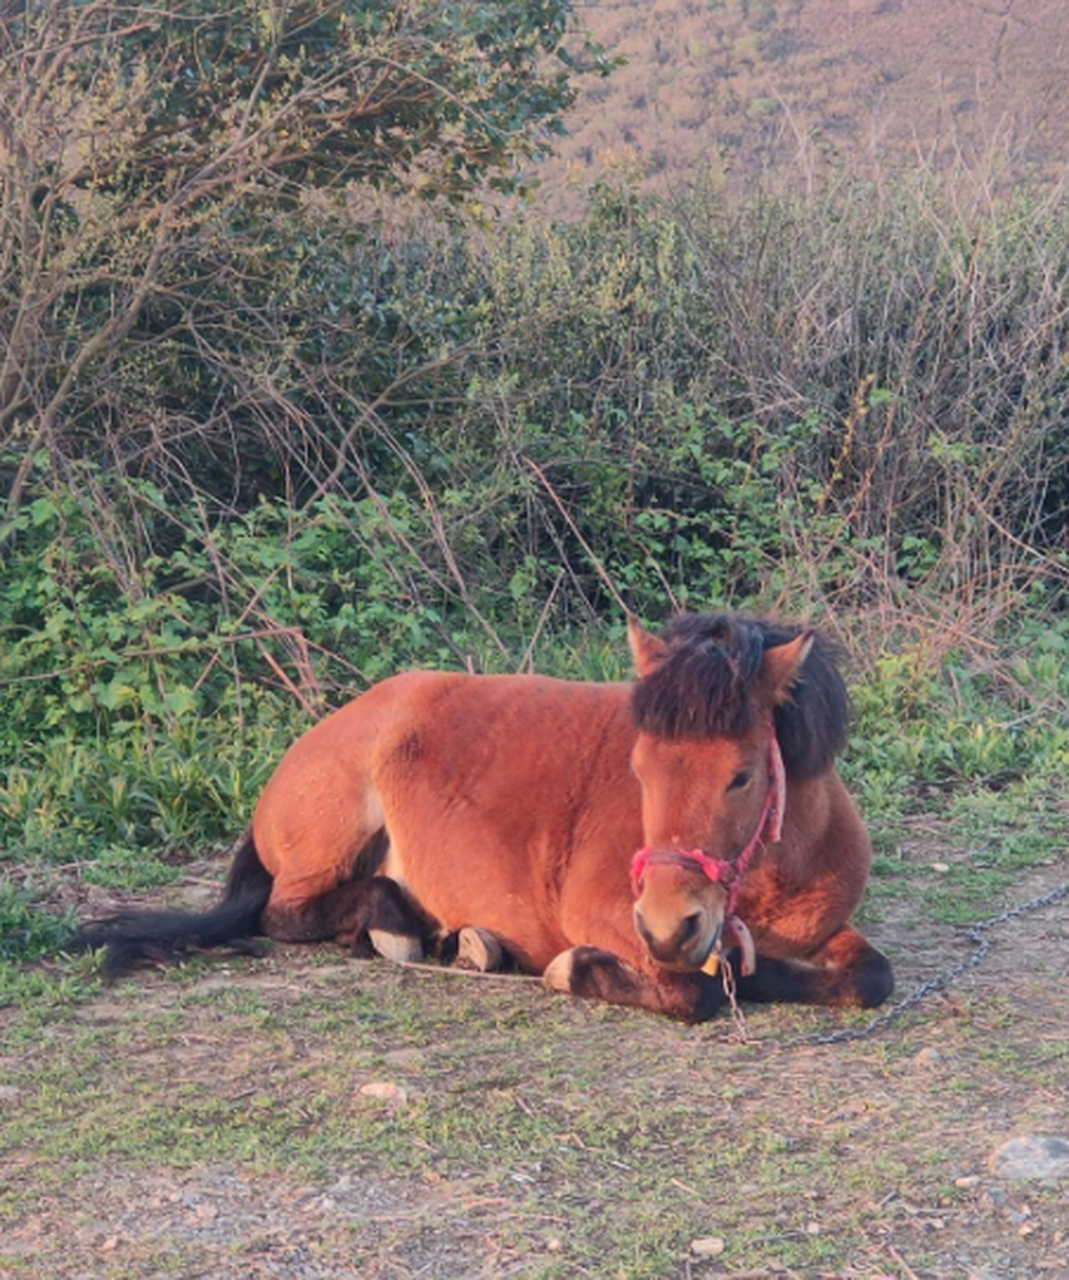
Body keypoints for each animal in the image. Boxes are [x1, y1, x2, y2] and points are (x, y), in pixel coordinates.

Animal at [73, 612, 894, 1022]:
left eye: (741, 776)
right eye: (637, 771)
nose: (667, 927)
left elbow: (869, 978)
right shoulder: (610, 917)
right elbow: (696, 989)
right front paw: (573, 969)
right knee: (287, 912)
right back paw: (403, 928)